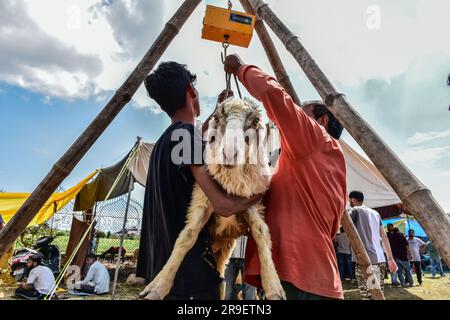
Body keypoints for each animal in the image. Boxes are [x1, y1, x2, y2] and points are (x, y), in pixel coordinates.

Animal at [140, 97, 284, 300]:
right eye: (216, 117)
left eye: (255, 121)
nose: (229, 154)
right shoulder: (204, 199)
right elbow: (187, 235)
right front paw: (157, 287)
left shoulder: (252, 202)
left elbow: (261, 232)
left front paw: (273, 287)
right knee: (221, 279)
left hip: (224, 248)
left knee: (222, 278)